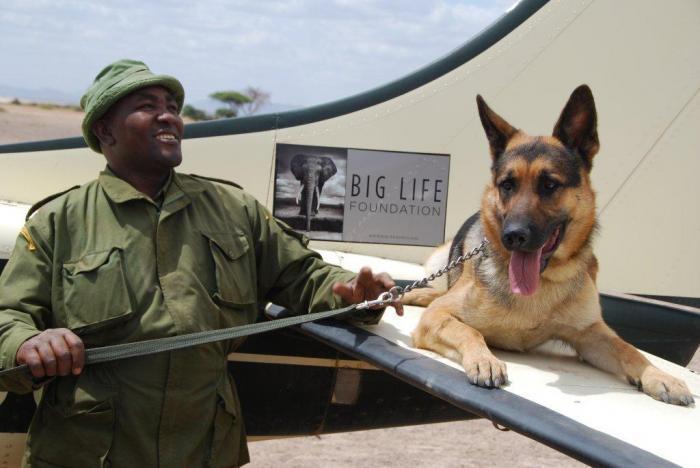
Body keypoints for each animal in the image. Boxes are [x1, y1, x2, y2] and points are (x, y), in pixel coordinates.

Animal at [404, 85, 696, 406]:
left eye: (550, 185)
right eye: (507, 185)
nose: (513, 236)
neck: (540, 286)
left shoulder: (591, 334)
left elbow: (629, 350)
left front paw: (659, 376)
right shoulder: (437, 317)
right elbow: (469, 332)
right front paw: (484, 360)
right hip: (439, 260)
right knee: (435, 292)